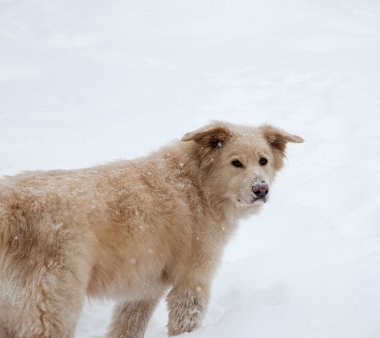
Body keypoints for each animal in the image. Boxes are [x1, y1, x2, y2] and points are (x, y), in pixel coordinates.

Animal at [0, 122, 302, 338]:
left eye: (263, 161)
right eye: (236, 162)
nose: (261, 189)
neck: (197, 185)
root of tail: (10, 209)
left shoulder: (144, 287)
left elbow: (128, 326)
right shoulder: (192, 280)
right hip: (51, 307)